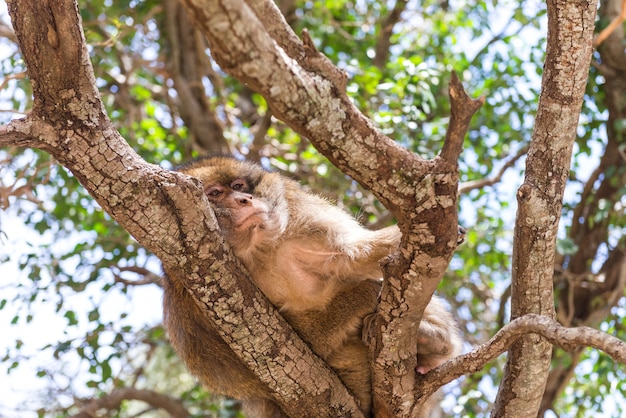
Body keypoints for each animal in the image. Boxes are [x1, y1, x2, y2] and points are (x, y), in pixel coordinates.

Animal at [163, 156, 460, 418]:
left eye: (238, 186)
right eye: (215, 193)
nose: (244, 199)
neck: (258, 250)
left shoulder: (300, 214)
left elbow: (357, 255)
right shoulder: (192, 296)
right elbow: (292, 346)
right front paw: (364, 295)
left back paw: (432, 341)